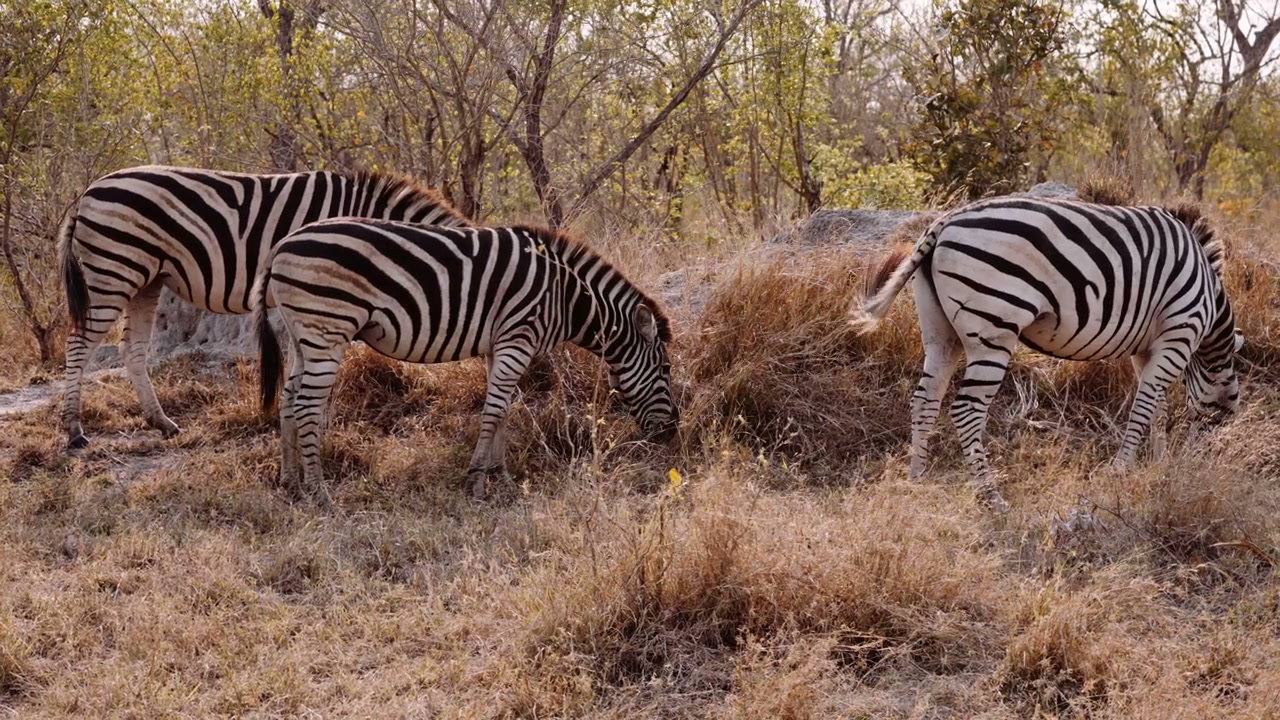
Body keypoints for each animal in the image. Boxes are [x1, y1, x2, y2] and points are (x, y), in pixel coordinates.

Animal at [59, 165, 469, 449]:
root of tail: (88, 192)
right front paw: (319, 427)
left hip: (147, 280)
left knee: (132, 349)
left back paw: (161, 423)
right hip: (114, 271)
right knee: (78, 344)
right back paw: (74, 430)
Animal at [251, 219, 678, 494]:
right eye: (665, 369)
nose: (673, 432)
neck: (565, 296)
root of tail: (281, 246)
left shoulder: (500, 344)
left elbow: (505, 409)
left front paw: (500, 474)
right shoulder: (518, 338)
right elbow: (494, 410)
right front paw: (476, 480)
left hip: (302, 334)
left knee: (289, 399)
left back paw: (290, 482)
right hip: (327, 327)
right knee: (307, 405)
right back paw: (319, 491)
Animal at [850, 197, 1242, 512]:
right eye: (1222, 418)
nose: (1199, 467)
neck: (1208, 297)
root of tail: (944, 222)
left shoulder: (1147, 348)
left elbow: (1156, 408)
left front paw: (1156, 463)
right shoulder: (1177, 335)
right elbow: (1146, 406)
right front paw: (1123, 469)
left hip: (940, 331)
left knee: (925, 400)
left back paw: (916, 477)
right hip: (994, 325)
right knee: (966, 410)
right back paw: (990, 497)